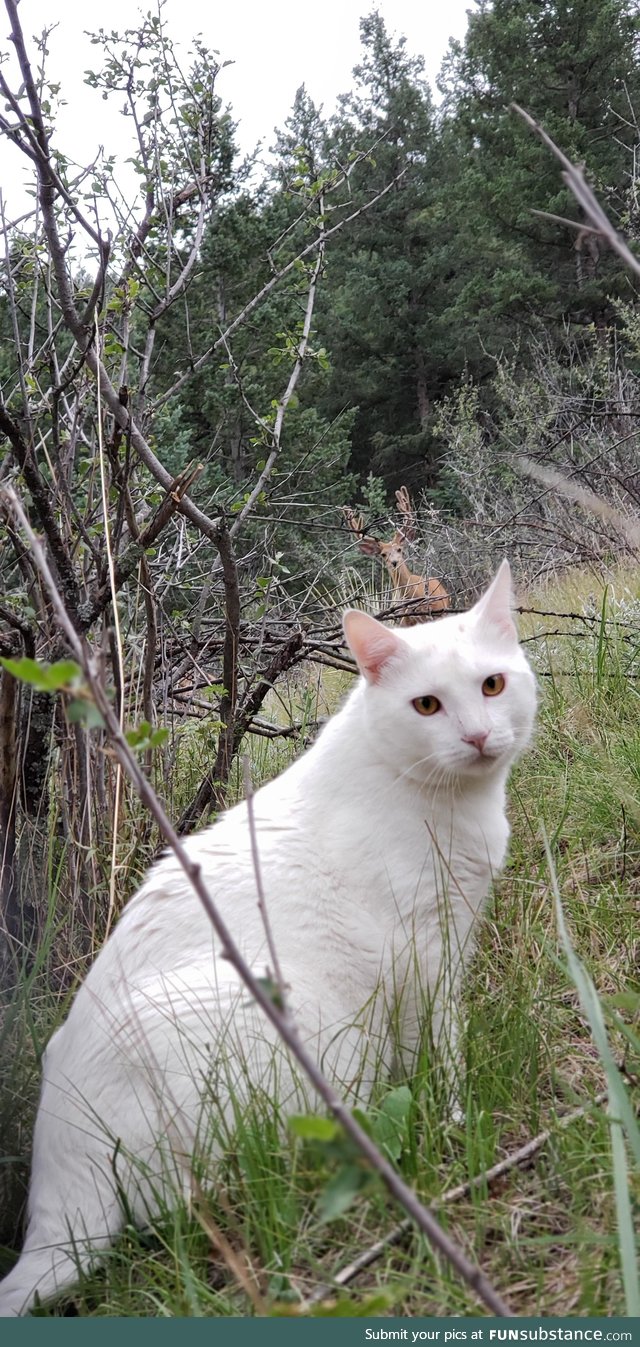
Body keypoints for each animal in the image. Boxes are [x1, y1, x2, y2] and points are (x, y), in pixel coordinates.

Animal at [0, 557, 536, 1314]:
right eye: (427, 706)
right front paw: (456, 1115)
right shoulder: (423, 950)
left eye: (493, 685)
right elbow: (442, 1046)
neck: (457, 807)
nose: (479, 737)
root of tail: (56, 1190)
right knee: (216, 1192)